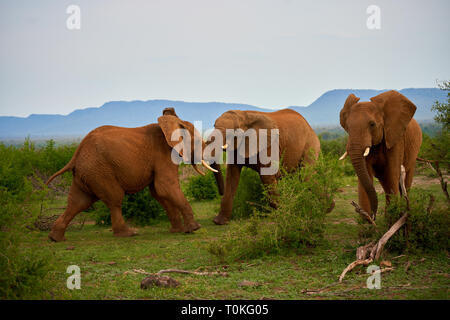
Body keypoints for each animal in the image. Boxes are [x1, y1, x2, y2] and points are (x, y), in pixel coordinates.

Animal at [45, 106, 216, 241]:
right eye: (197, 142)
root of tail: (76, 154)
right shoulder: (163, 153)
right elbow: (165, 186)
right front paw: (194, 228)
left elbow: (158, 192)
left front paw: (178, 231)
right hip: (99, 171)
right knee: (114, 198)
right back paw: (128, 234)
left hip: (87, 172)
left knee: (78, 202)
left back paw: (55, 238)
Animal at [340, 90, 424, 218]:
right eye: (347, 127)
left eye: (372, 124)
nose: (373, 215)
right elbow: (366, 175)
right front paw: (367, 222)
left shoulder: (396, 139)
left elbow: (392, 173)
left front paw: (392, 219)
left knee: (405, 181)